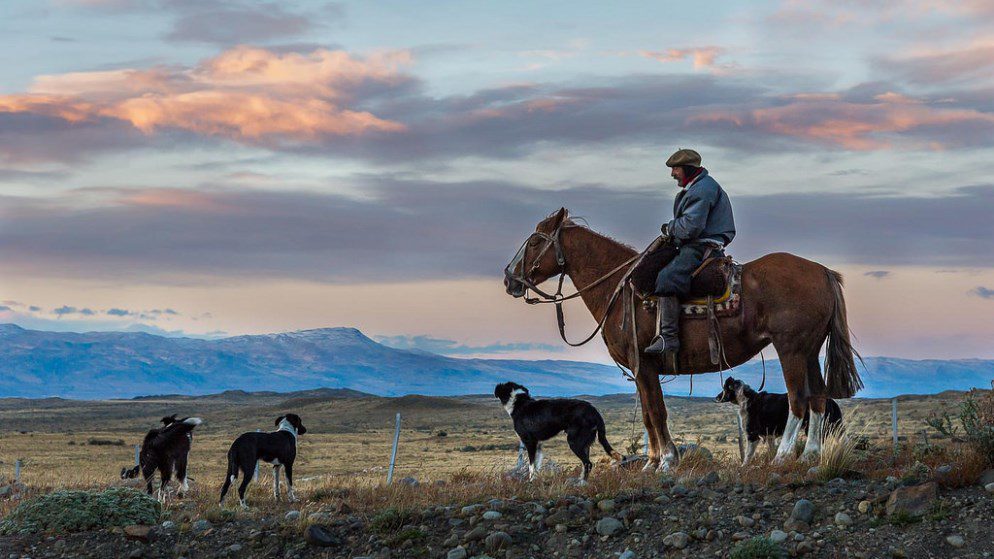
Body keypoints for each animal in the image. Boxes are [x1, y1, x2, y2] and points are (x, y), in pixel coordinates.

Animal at [708, 378, 840, 466]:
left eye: (724, 388)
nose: (716, 398)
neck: (746, 398)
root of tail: (831, 400)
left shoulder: (752, 435)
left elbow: (748, 455)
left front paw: (743, 467)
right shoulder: (770, 436)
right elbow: (772, 451)